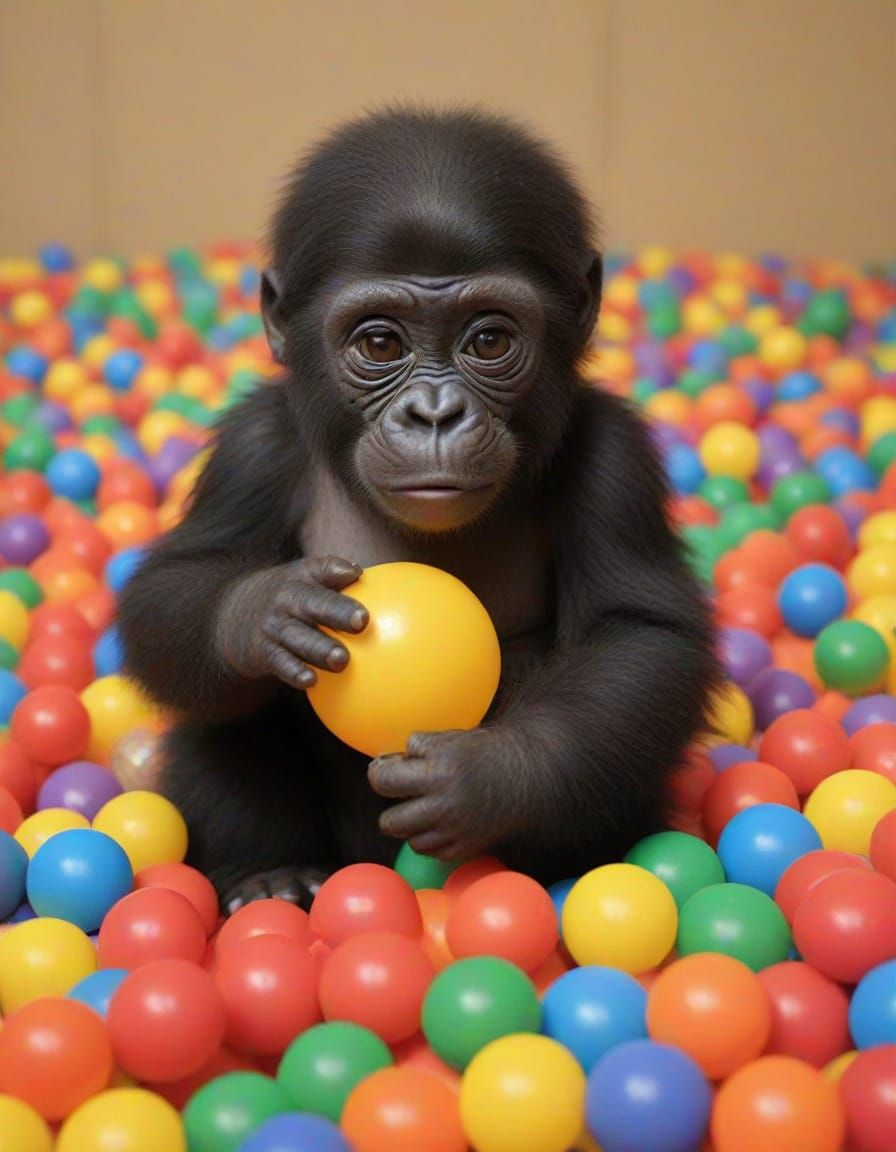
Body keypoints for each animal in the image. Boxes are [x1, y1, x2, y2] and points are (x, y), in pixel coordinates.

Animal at [119, 106, 718, 913]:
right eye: (379, 341)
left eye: (489, 339)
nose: (435, 412)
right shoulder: (254, 448)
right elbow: (177, 584)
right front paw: (266, 610)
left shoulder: (614, 462)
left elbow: (638, 635)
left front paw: (493, 773)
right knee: (225, 711)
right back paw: (271, 874)